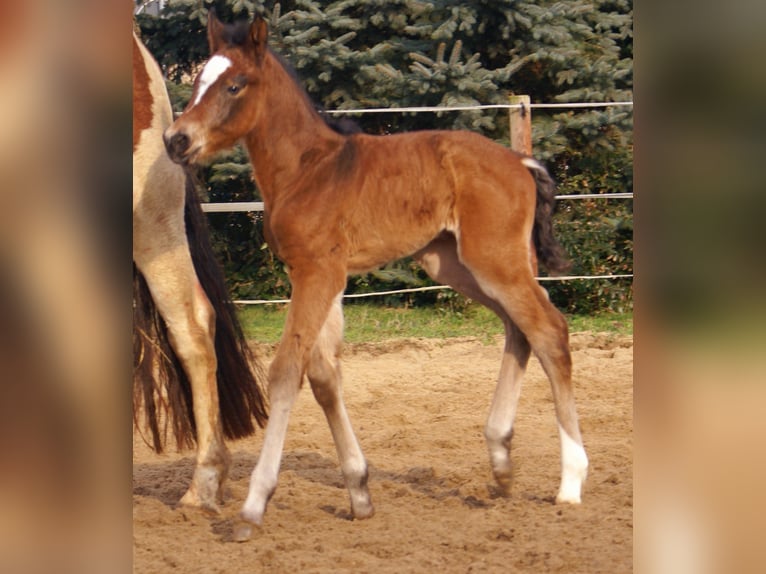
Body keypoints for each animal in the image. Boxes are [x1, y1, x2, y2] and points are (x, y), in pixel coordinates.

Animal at [165, 14, 592, 540]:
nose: (176, 140)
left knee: (549, 330)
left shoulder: (318, 273)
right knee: (520, 330)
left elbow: (287, 370)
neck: (307, 170)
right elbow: (324, 375)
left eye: (233, 85)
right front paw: (360, 492)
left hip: (495, 261)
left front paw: (253, 505)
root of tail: (520, 161)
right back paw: (500, 462)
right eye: (197, 82)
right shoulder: (319, 275)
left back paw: (570, 482)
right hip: (455, 264)